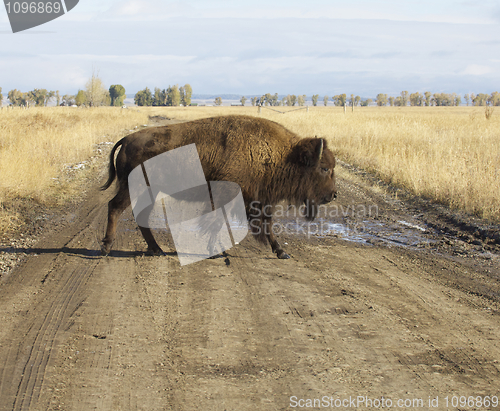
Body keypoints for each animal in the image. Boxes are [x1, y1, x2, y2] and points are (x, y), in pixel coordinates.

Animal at [100, 114, 336, 260]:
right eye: (324, 168)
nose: (333, 195)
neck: (281, 155)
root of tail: (127, 139)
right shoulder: (228, 196)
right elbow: (216, 222)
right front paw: (213, 251)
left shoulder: (258, 201)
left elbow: (266, 226)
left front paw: (281, 252)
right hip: (133, 188)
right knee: (115, 207)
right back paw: (106, 247)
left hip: (150, 190)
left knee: (140, 215)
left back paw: (156, 250)